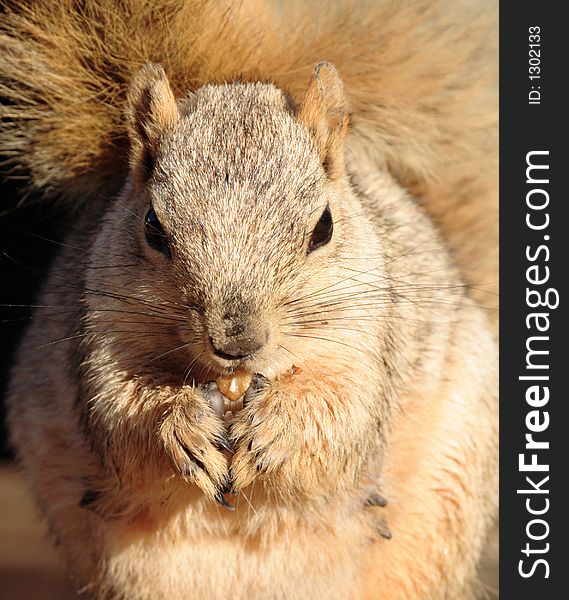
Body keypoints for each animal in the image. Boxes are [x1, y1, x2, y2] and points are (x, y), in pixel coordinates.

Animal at [0, 1, 494, 600]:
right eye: (152, 226)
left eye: (324, 227)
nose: (237, 341)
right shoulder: (99, 334)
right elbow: (121, 415)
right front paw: (180, 427)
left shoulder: (373, 337)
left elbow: (345, 411)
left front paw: (279, 426)